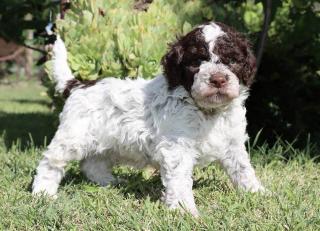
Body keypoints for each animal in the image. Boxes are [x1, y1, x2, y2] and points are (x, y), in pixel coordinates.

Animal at [32, 21, 264, 215]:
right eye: (196, 61)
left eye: (232, 60)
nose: (218, 79)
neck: (207, 111)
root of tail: (78, 85)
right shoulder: (177, 148)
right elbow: (180, 180)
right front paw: (184, 210)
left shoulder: (232, 144)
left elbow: (243, 170)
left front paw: (258, 193)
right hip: (73, 137)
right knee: (51, 162)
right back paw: (43, 193)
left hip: (106, 141)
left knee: (92, 163)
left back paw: (111, 181)